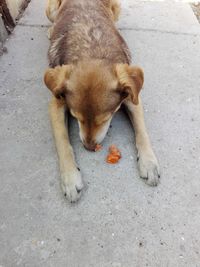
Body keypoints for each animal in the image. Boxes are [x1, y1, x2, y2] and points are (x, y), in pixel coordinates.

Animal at [44, 0, 160, 203]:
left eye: (106, 119)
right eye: (76, 117)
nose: (89, 148)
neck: (91, 51)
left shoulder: (133, 96)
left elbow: (142, 131)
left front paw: (149, 162)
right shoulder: (56, 103)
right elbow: (62, 141)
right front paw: (70, 178)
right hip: (50, 9)